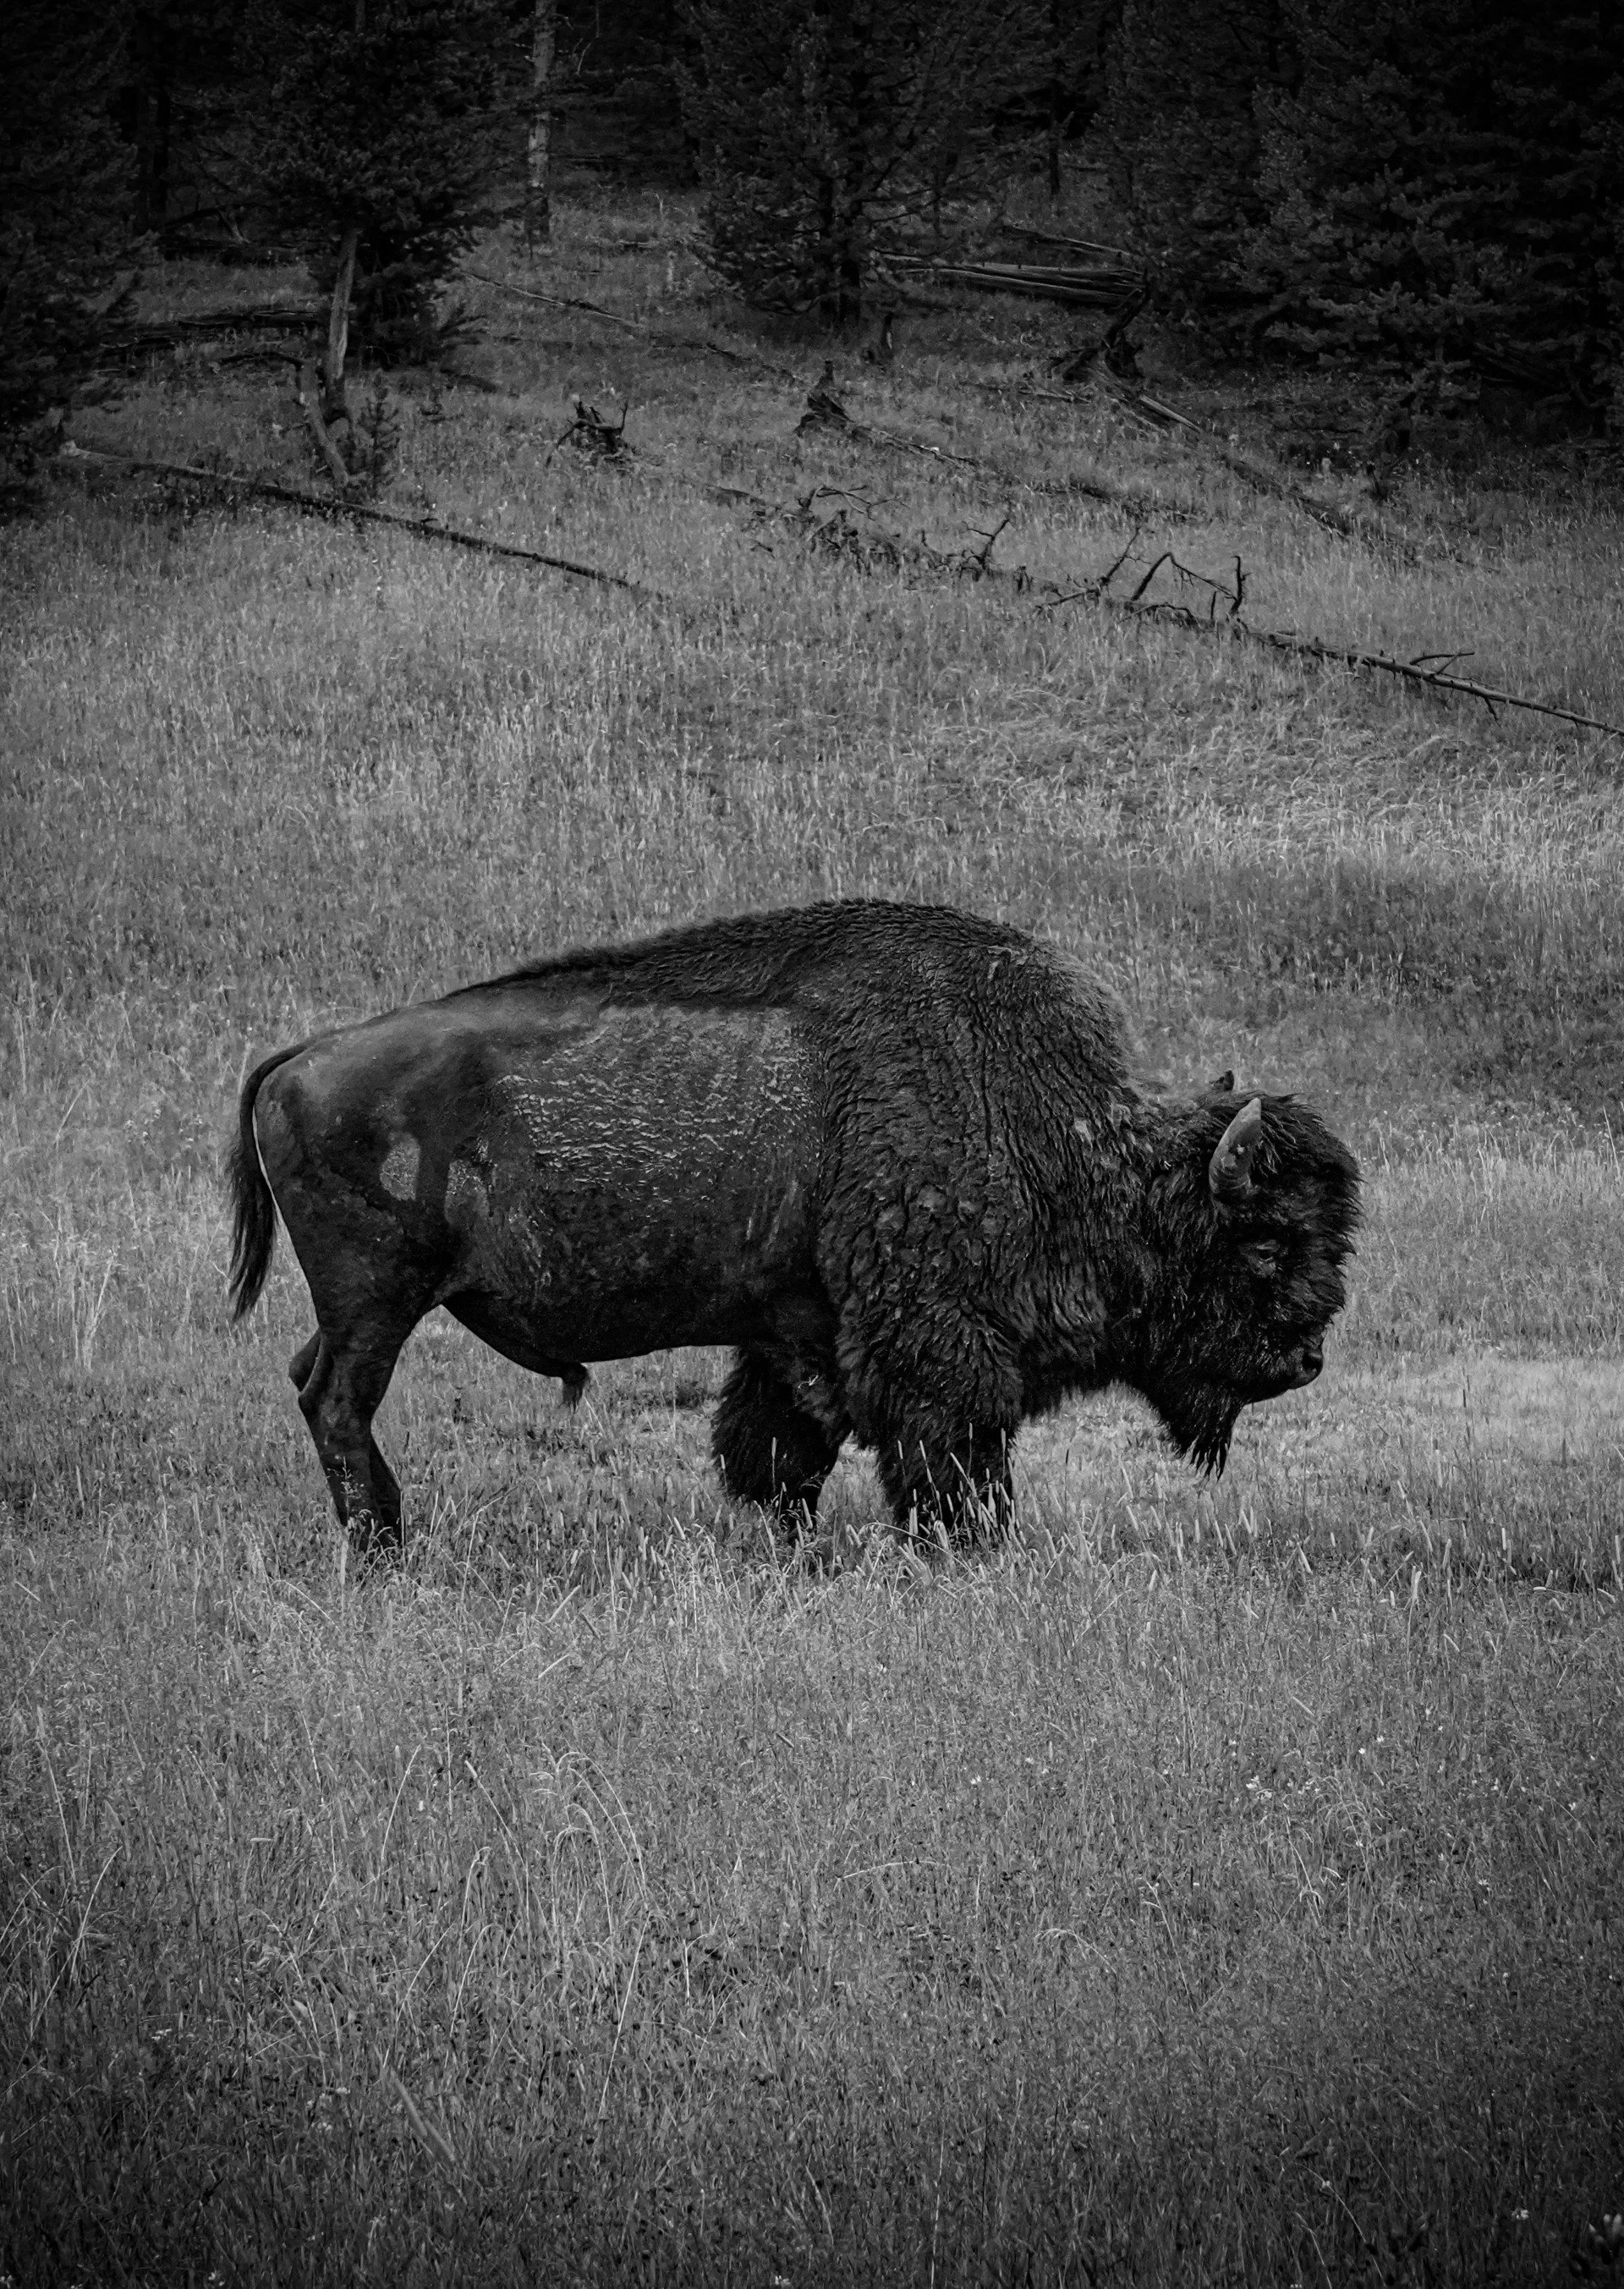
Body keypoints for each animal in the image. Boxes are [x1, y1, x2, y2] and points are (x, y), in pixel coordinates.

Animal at [226, 900, 1360, 1554]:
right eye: (1266, 1241)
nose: (1304, 1359)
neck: (1062, 1135)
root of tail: (298, 1059)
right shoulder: (936, 1351)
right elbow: (948, 1458)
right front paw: (969, 1550)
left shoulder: (795, 1328)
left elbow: (779, 1449)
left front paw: (794, 1547)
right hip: (379, 1301)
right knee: (337, 1402)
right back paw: (386, 1542)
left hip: (358, 1308)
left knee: (306, 1381)